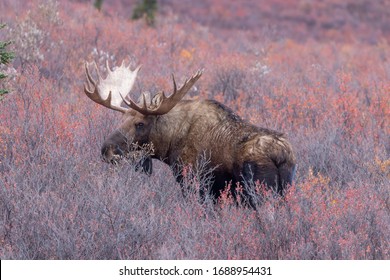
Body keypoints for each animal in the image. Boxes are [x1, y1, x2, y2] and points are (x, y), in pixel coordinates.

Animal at [83, 59, 296, 203]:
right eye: (122, 119)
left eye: (140, 124)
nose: (106, 149)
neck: (169, 144)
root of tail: (282, 155)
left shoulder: (193, 182)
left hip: (261, 191)